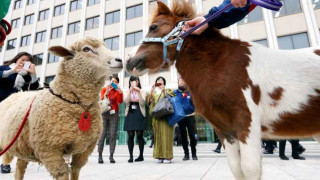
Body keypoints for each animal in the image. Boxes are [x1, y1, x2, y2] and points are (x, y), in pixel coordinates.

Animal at [0, 37, 122, 180]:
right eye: (86, 49)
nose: (120, 60)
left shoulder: (84, 150)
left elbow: (75, 171)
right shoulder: (50, 151)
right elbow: (63, 174)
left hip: (23, 147)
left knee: (20, 167)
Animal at [126, 0, 320, 179]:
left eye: (154, 27)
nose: (129, 62)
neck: (224, 67)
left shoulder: (247, 123)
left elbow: (250, 168)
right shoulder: (225, 129)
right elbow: (237, 169)